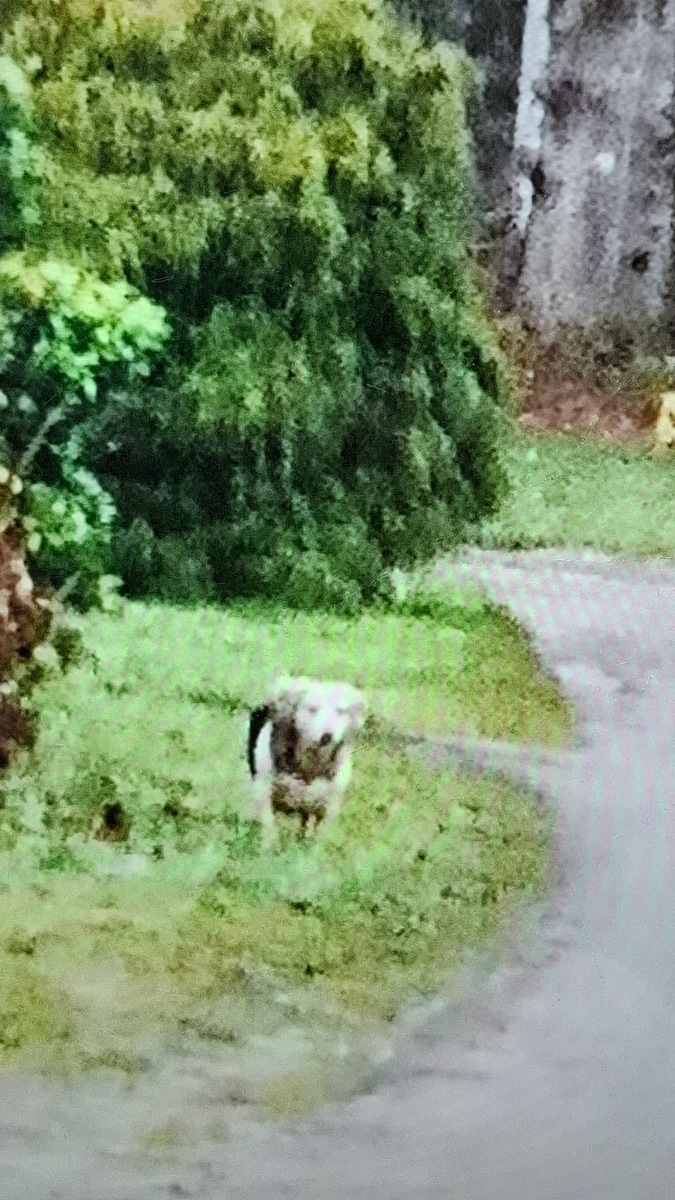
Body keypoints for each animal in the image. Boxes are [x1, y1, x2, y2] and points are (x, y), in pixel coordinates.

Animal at [246, 676, 365, 844]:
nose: (327, 736)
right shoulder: (263, 791)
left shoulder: (329, 805)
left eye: (340, 711)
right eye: (312, 709)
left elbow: (318, 839)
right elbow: (268, 828)